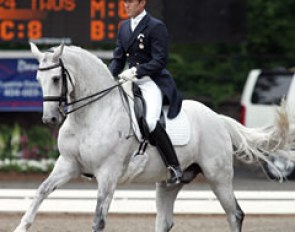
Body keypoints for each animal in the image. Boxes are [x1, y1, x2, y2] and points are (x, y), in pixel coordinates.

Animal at [13, 43, 295, 232]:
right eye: (37, 78)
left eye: (56, 78)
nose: (49, 119)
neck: (90, 115)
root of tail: (217, 118)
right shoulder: (68, 164)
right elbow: (40, 192)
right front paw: (21, 226)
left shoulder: (108, 173)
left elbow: (98, 219)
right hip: (169, 183)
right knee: (165, 221)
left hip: (219, 176)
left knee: (235, 214)